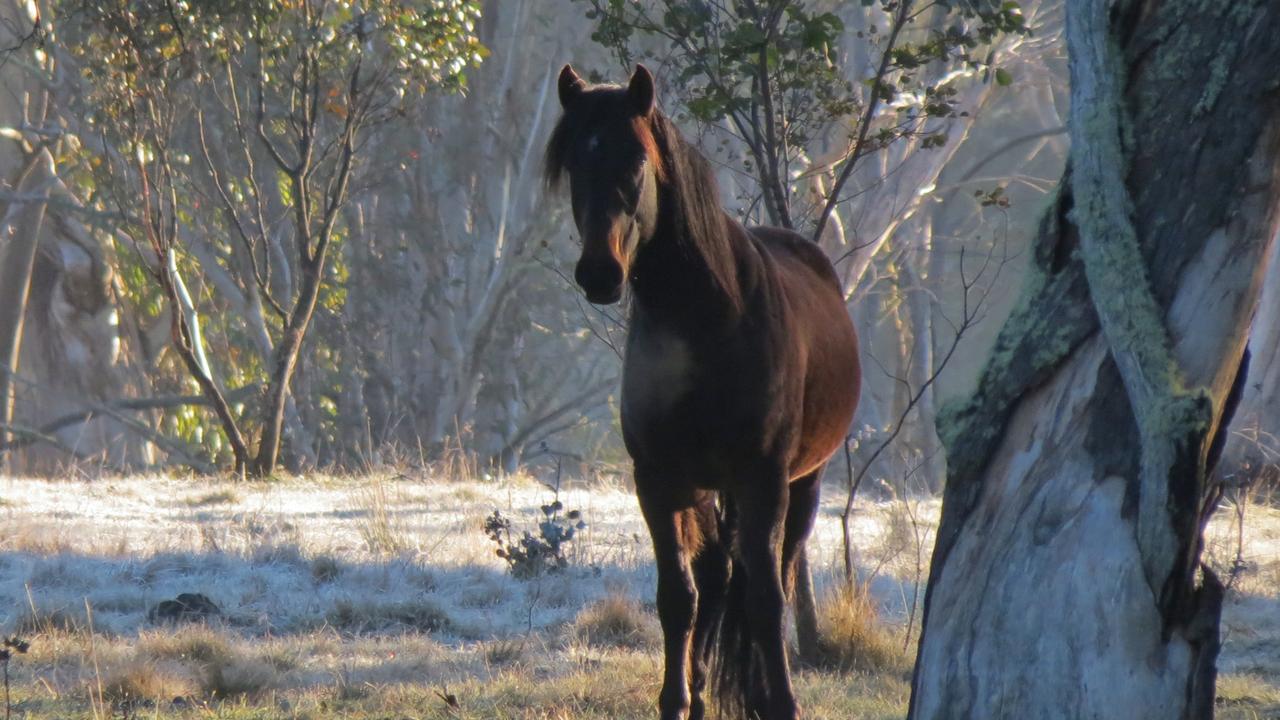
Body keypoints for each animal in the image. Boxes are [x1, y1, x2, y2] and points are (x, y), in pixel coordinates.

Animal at [542, 63, 860, 717]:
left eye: (637, 159)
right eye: (573, 162)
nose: (600, 274)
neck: (708, 321)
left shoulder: (763, 479)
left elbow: (765, 599)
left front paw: (779, 701)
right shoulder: (659, 480)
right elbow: (678, 597)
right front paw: (679, 699)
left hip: (802, 485)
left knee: (773, 574)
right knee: (715, 577)